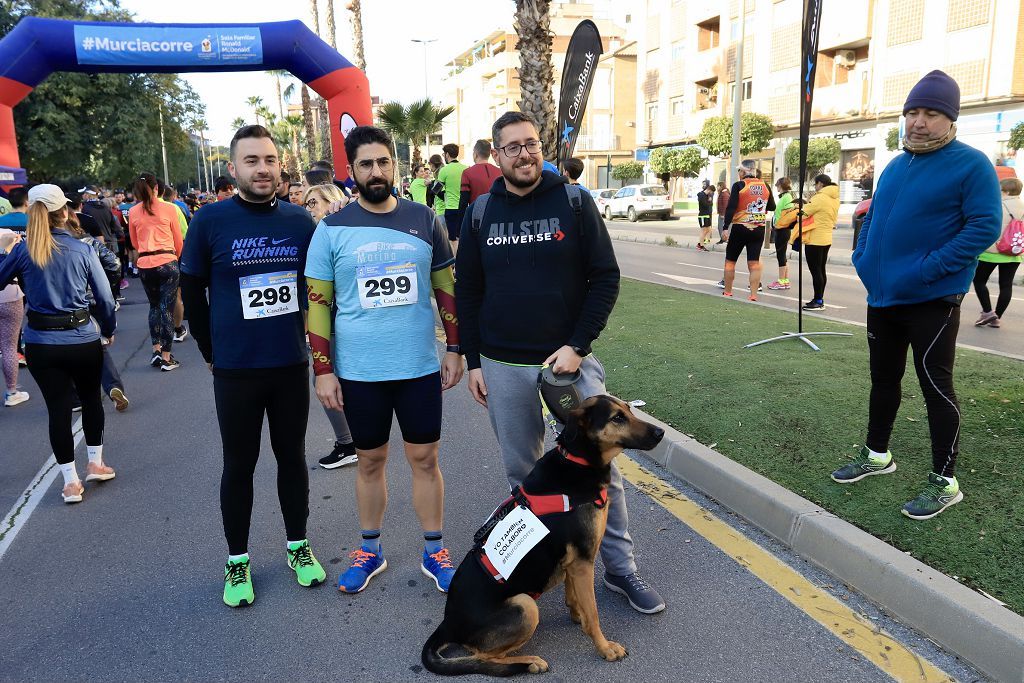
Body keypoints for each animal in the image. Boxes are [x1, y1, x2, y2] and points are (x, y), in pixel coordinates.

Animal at [421, 395, 667, 679]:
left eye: (629, 409)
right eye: (617, 418)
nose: (660, 433)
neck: (577, 461)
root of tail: (448, 623)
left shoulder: (573, 563)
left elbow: (575, 598)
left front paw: (578, 616)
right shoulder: (583, 562)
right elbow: (594, 613)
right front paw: (604, 647)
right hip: (525, 604)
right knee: (484, 657)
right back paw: (529, 662)